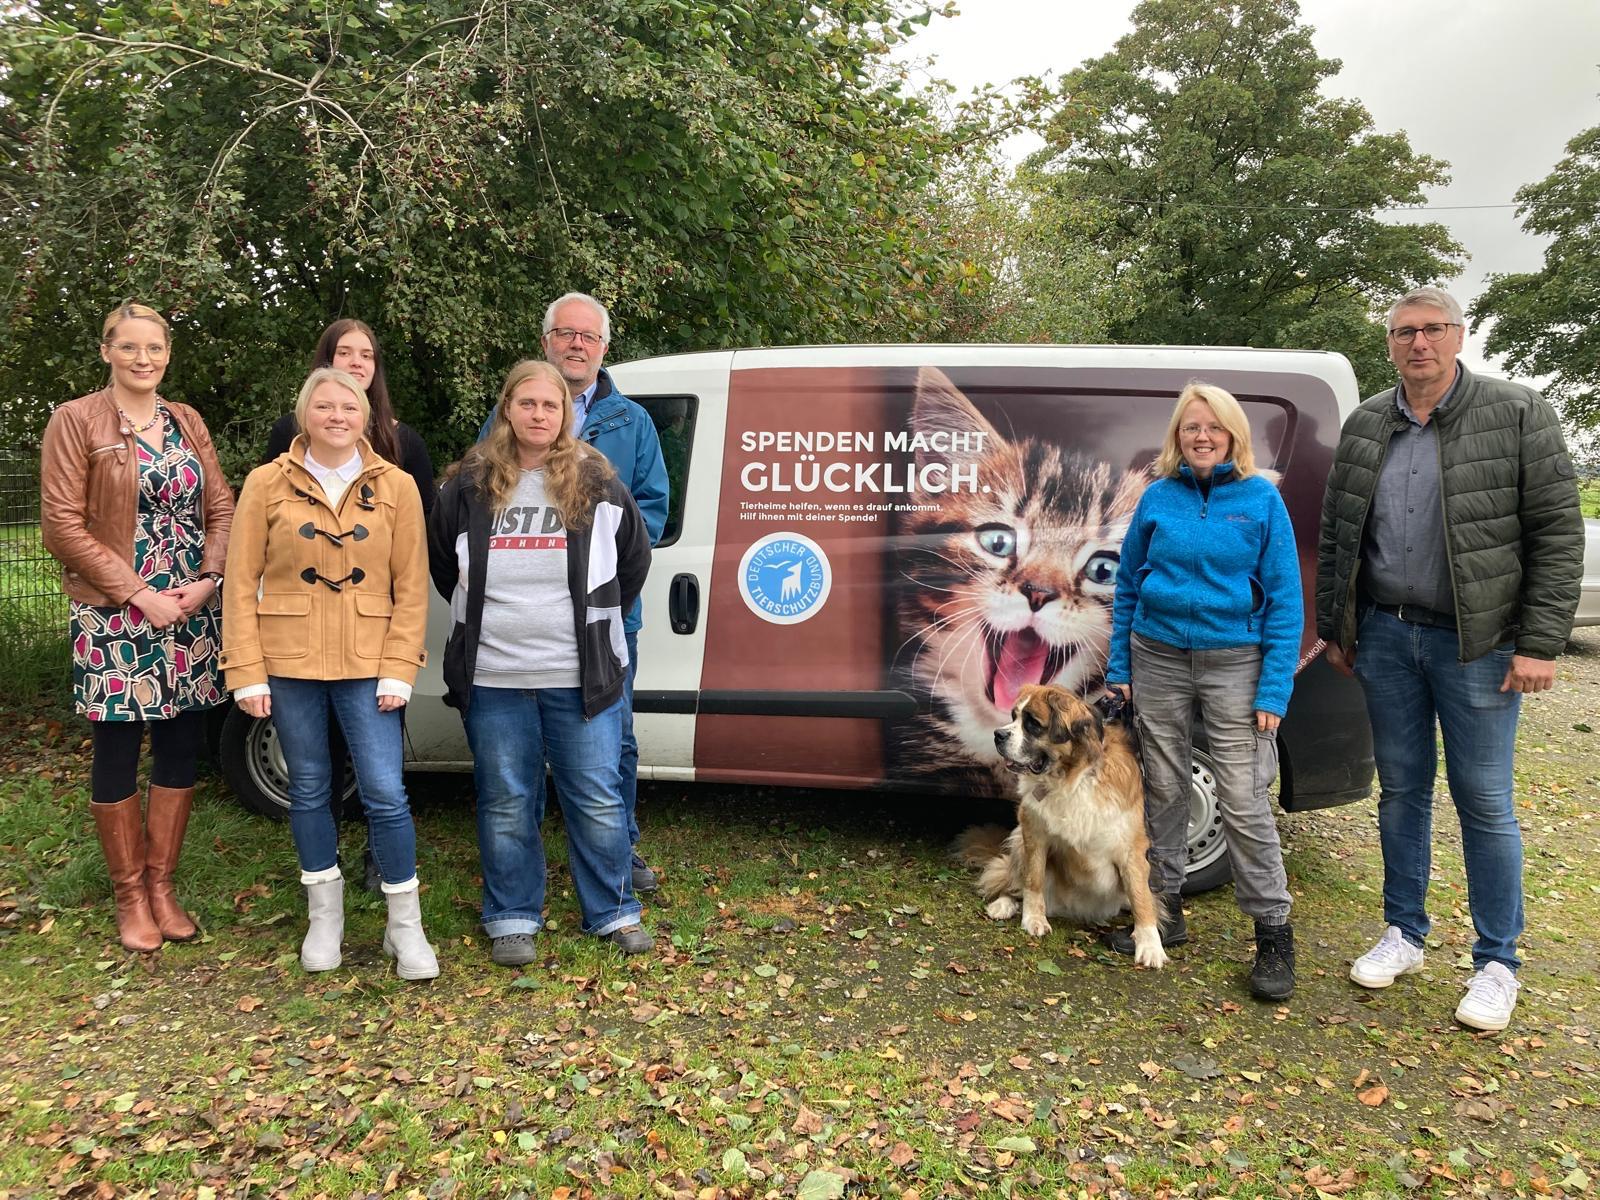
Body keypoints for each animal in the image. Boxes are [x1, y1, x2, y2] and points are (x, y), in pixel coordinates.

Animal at [960, 683, 1168, 969]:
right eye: (1014, 716)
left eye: (1032, 724)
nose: (998, 734)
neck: (1071, 777)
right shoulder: (1033, 832)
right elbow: (1033, 880)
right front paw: (1034, 919)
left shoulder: (1132, 849)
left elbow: (1142, 897)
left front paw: (1150, 945)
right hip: (1018, 841)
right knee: (1014, 884)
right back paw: (1003, 905)